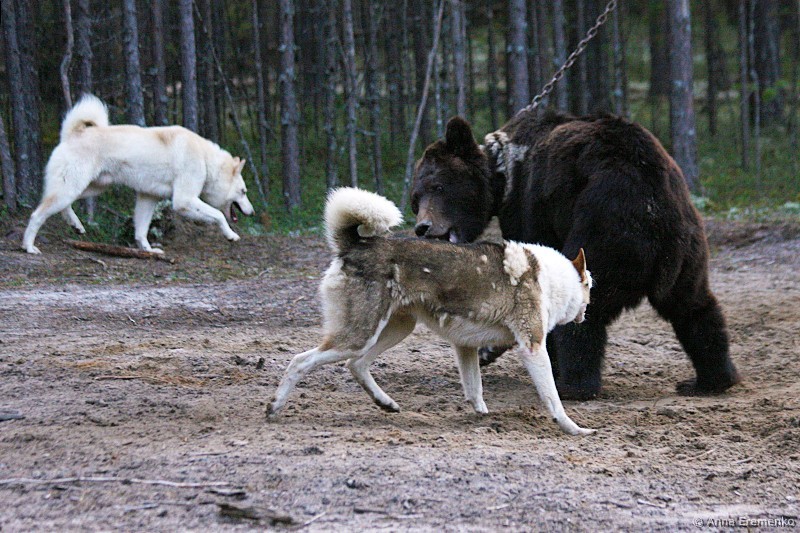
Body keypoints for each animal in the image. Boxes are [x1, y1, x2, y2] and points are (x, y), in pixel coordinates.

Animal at [22, 94, 255, 254]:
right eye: (243, 191)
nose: (252, 212)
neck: (206, 161)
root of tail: (72, 134)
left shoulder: (147, 198)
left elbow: (141, 231)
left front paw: (149, 251)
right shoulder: (183, 200)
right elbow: (218, 216)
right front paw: (231, 235)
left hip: (91, 188)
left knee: (64, 206)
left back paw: (76, 225)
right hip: (72, 188)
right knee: (36, 215)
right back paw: (29, 247)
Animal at [267, 187, 595, 436]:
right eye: (590, 284)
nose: (587, 312)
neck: (551, 278)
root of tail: (354, 245)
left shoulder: (465, 347)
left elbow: (475, 391)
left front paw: (483, 417)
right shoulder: (532, 348)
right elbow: (553, 399)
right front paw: (573, 428)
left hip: (395, 331)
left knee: (357, 365)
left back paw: (385, 403)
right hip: (358, 336)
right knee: (299, 361)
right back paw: (274, 407)